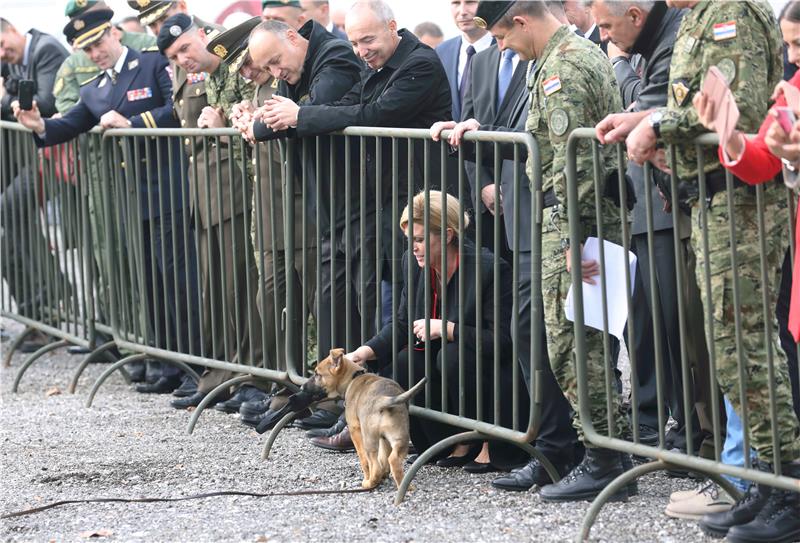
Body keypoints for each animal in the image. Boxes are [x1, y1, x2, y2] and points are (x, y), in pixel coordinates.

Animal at [300, 350, 424, 490]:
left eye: (317, 374)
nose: (301, 387)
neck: (353, 378)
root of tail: (383, 400)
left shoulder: (355, 430)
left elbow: (364, 459)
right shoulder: (383, 438)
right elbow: (384, 456)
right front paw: (385, 474)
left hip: (369, 438)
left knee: (375, 465)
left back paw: (369, 483)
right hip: (400, 436)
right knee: (393, 460)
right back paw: (407, 487)